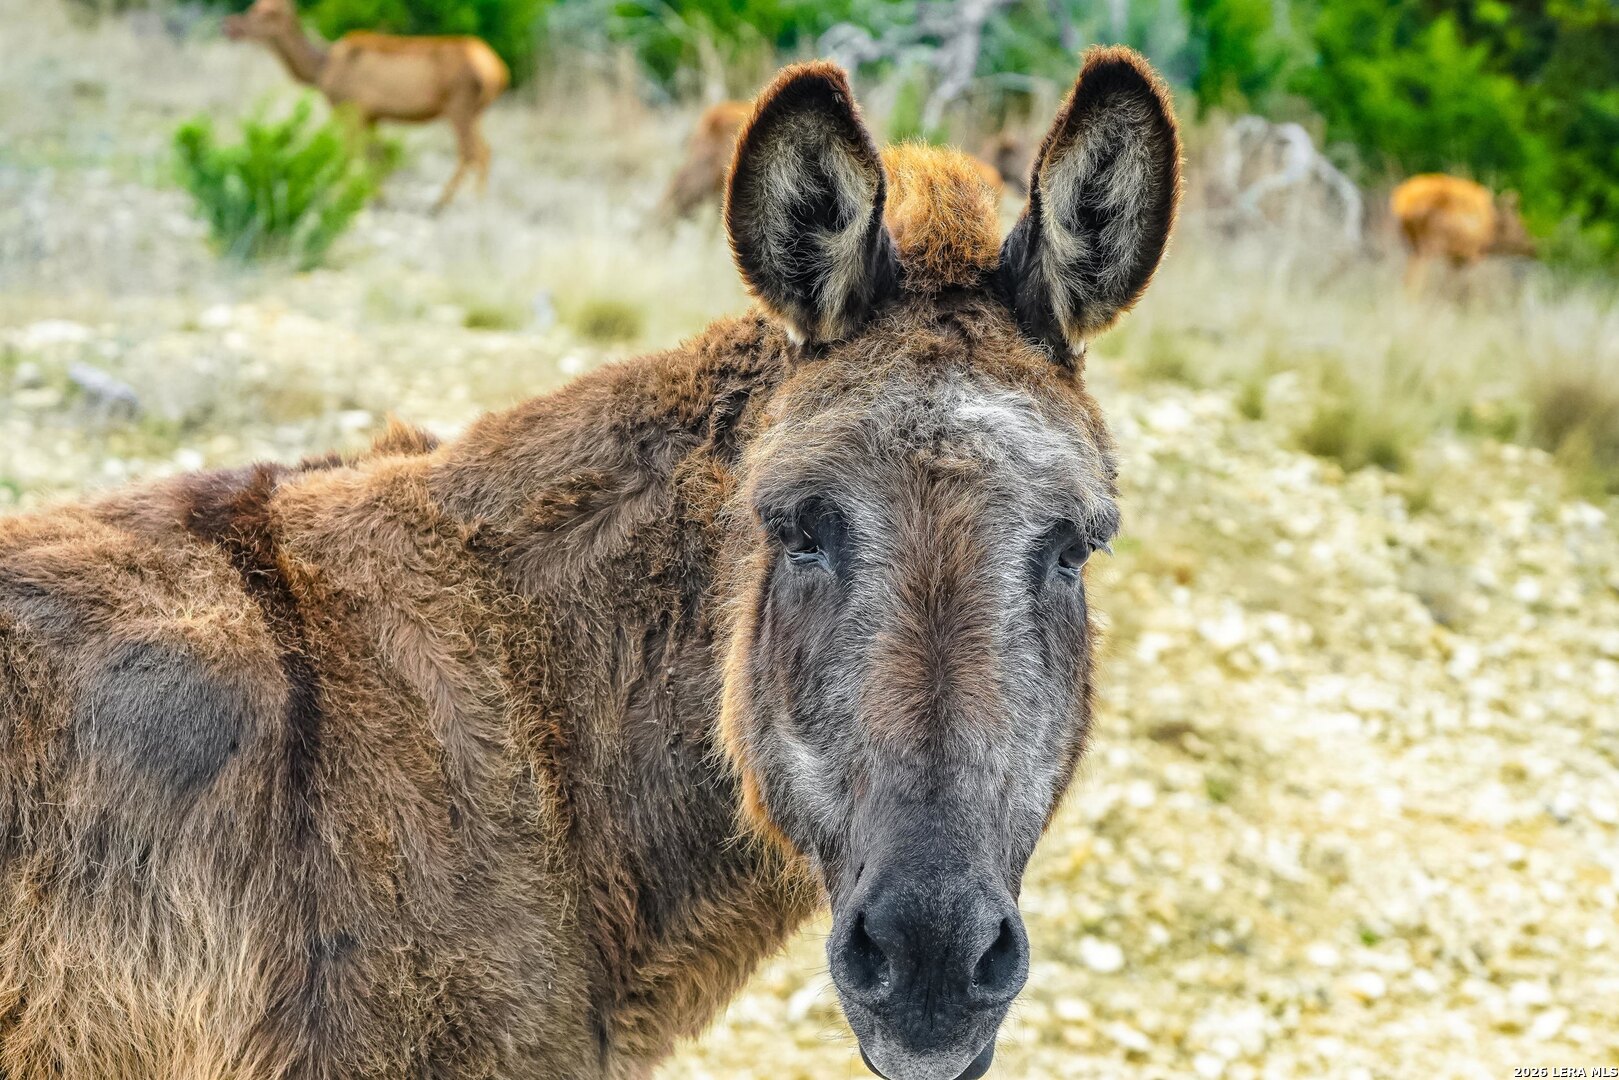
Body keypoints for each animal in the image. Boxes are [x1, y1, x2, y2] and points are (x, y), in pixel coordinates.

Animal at [223, 0, 509, 212]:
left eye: (269, 13)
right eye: (254, 6)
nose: (230, 25)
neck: (319, 71)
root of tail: (498, 71)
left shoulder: (350, 109)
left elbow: (350, 154)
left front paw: (342, 197)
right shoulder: (373, 115)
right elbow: (375, 157)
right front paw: (377, 198)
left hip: (459, 106)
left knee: (472, 152)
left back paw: (447, 203)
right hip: (475, 111)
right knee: (485, 150)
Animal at [1391, 173, 1536, 293]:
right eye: (1521, 225)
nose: (1534, 248)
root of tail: (1404, 204)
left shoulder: (1455, 258)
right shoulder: (1467, 255)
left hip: (1411, 242)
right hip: (1429, 243)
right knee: (1416, 279)